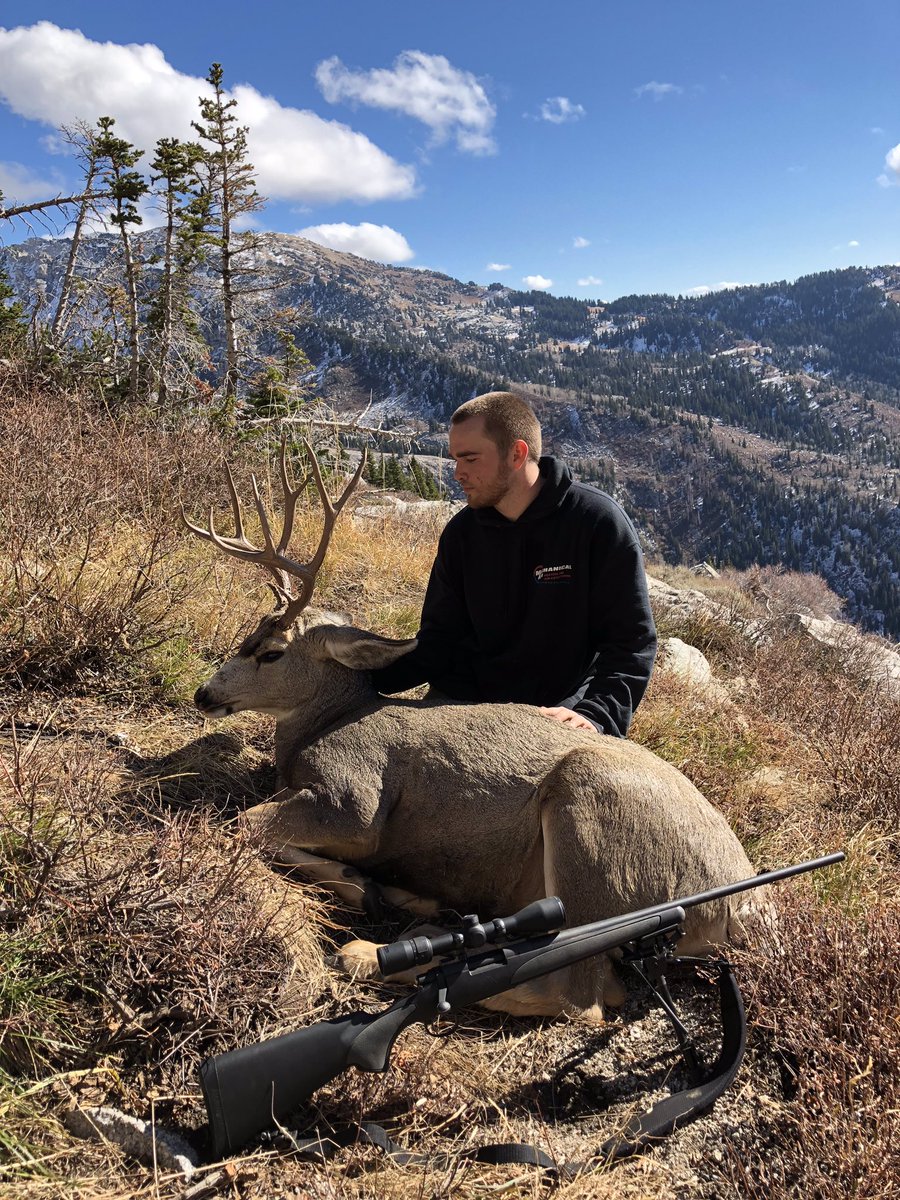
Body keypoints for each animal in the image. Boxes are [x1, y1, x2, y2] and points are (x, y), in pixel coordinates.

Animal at [183, 439, 756, 1021]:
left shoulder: (353, 798)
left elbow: (245, 823)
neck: (322, 727)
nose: (203, 694)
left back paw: (375, 954)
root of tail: (738, 903)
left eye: (271, 652)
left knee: (582, 993)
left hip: (590, 818)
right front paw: (371, 886)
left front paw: (359, 885)